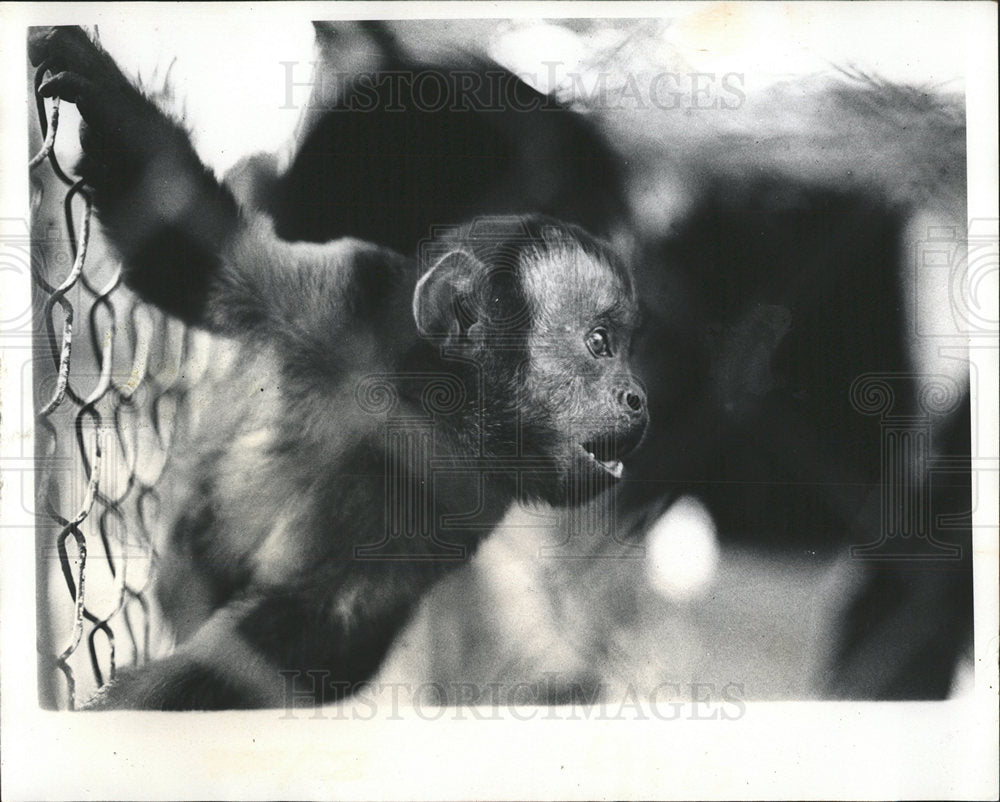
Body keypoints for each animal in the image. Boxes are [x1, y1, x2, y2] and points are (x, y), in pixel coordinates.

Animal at [29, 25, 648, 708]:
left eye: (620, 347)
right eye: (600, 343)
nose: (638, 395)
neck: (420, 410)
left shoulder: (468, 495)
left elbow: (323, 628)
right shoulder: (349, 301)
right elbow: (200, 261)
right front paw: (97, 86)